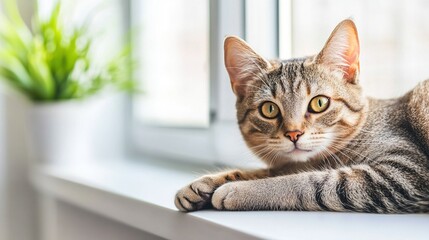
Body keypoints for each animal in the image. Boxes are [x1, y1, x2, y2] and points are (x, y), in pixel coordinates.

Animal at [173, 19, 428, 213]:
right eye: (269, 109)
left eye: (319, 103)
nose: (294, 133)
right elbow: (272, 170)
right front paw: (206, 183)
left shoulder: (404, 170)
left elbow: (305, 181)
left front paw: (238, 189)